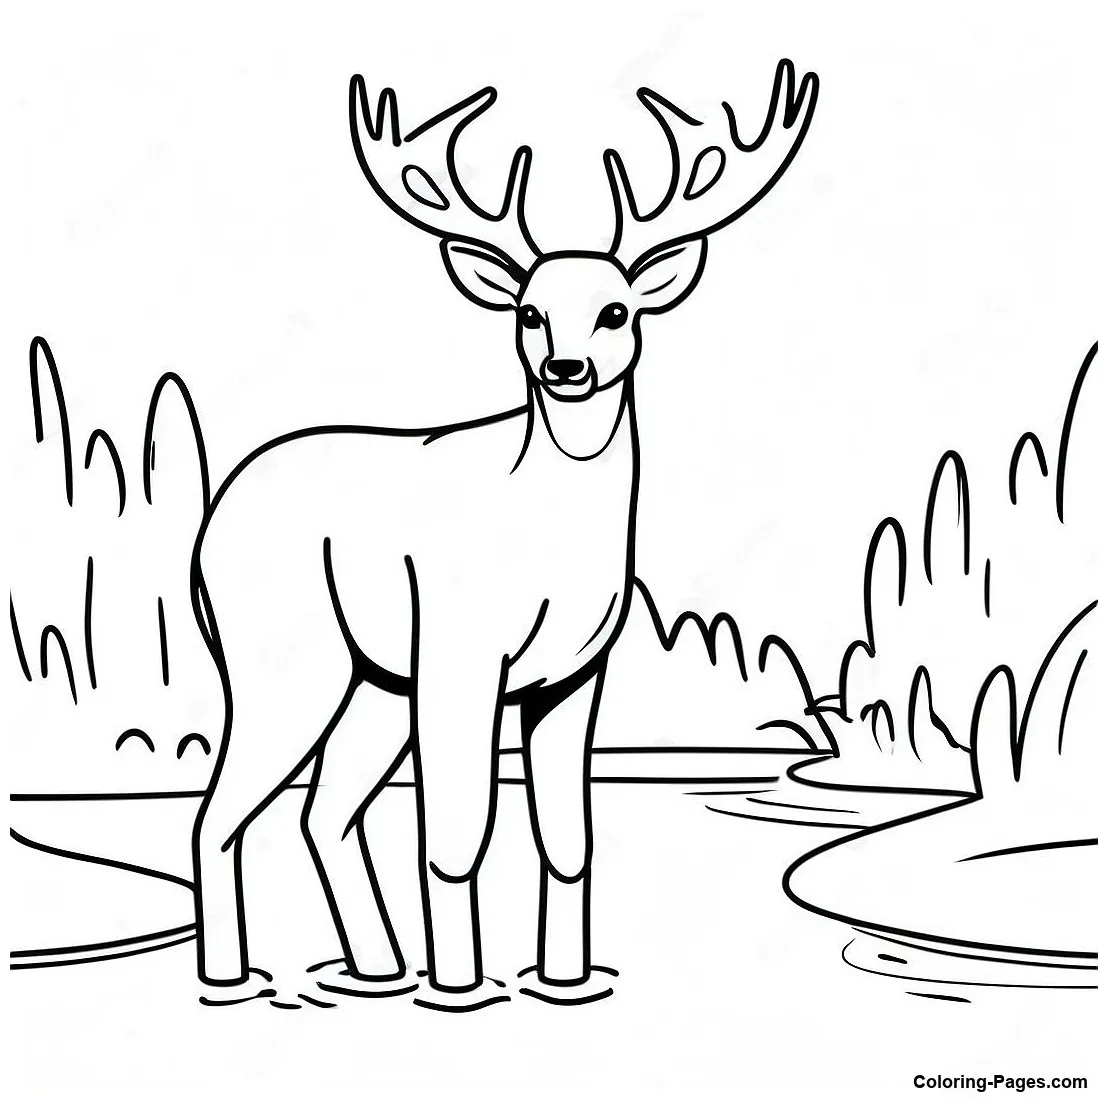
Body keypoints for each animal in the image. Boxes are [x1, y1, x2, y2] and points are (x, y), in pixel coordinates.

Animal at [191, 59, 819, 1010]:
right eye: (527, 312)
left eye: (616, 311)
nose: (566, 367)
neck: (544, 535)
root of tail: (208, 527)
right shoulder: (461, 650)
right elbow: (457, 830)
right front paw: (461, 988)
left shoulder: (576, 674)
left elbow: (567, 834)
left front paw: (564, 980)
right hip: (283, 658)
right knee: (221, 812)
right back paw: (236, 978)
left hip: (376, 678)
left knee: (322, 808)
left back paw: (374, 971)